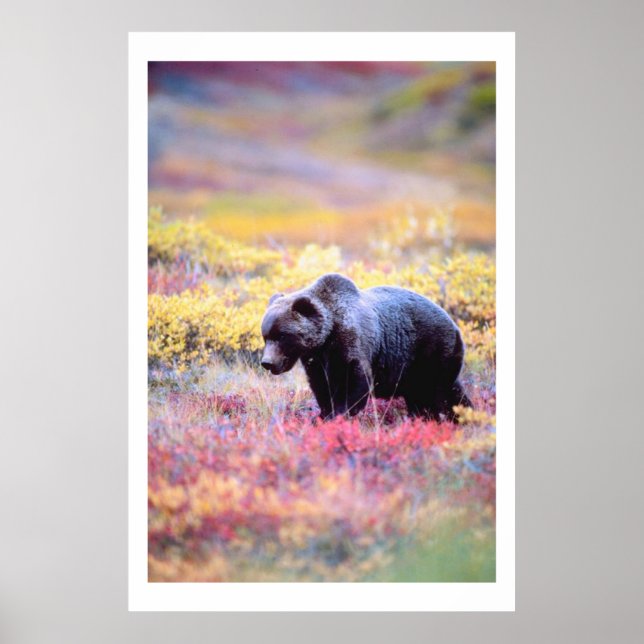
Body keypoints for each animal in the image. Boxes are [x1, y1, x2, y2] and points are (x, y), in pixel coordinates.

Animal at [260, 273, 472, 421]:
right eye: (265, 336)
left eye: (282, 335)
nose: (267, 362)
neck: (327, 335)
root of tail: (455, 326)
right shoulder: (316, 360)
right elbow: (321, 386)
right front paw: (323, 414)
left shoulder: (350, 342)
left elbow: (353, 382)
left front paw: (336, 415)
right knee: (449, 393)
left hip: (431, 351)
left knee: (434, 393)